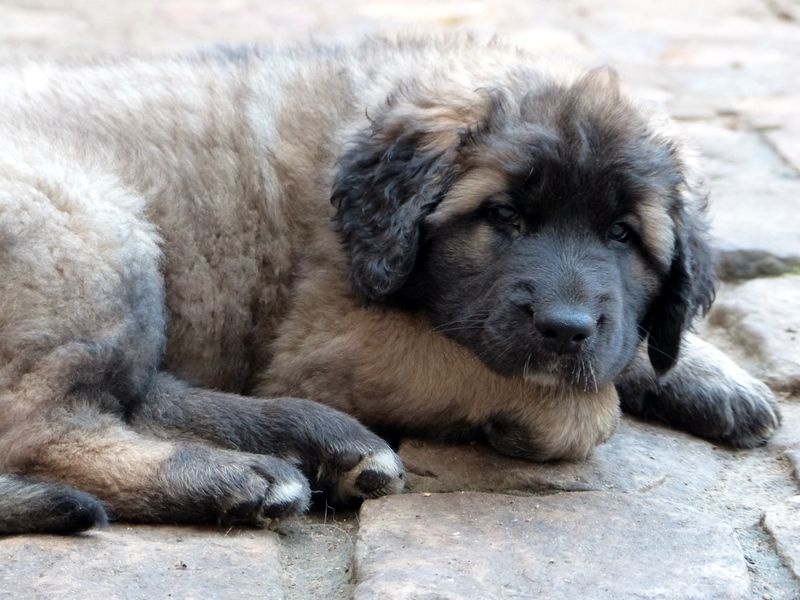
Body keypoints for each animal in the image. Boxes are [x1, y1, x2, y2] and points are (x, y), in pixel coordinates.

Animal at [0, 36, 781, 535]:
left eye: (623, 235)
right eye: (503, 216)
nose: (565, 326)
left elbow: (627, 348)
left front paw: (711, 373)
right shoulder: (328, 339)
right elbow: (567, 396)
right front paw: (552, 411)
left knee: (139, 394)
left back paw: (317, 444)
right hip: (93, 232)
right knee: (46, 430)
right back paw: (244, 478)